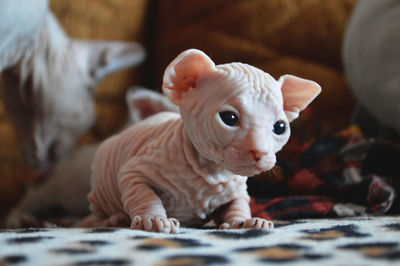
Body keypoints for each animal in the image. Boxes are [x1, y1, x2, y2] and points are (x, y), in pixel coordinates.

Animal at [82, 48, 322, 232]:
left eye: (280, 127)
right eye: (229, 118)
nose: (261, 152)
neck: (209, 173)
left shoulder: (236, 189)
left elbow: (238, 204)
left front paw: (244, 221)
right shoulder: (134, 171)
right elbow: (144, 195)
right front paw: (154, 219)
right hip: (101, 181)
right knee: (96, 213)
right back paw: (114, 219)